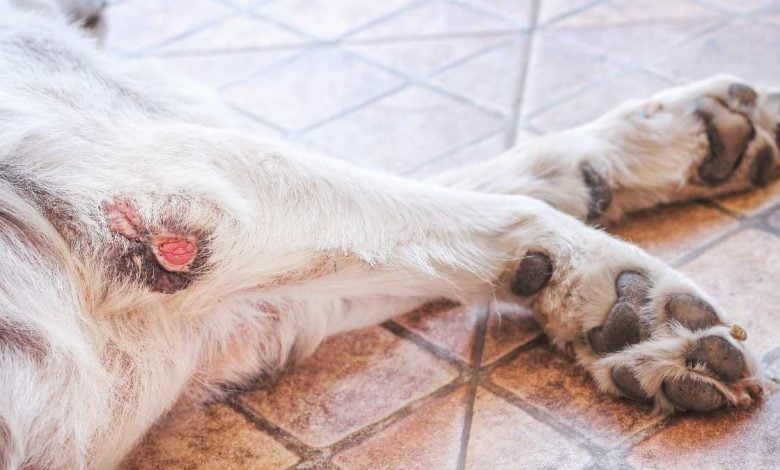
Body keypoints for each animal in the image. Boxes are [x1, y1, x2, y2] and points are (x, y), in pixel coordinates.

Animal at [0, 1, 772, 468]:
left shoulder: (224, 322)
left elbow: (486, 194)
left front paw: (668, 150)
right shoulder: (171, 182)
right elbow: (502, 212)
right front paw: (634, 300)